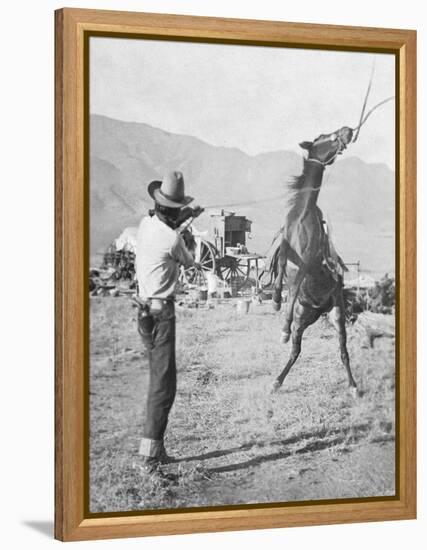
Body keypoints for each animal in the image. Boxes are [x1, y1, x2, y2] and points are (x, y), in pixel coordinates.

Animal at [272, 128, 360, 396]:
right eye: (325, 137)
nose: (347, 131)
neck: (302, 215)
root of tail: (320, 309)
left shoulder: (309, 261)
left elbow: (295, 285)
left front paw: (282, 328)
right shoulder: (288, 248)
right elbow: (281, 264)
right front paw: (275, 300)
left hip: (337, 315)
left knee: (343, 351)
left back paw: (353, 386)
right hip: (303, 320)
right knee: (295, 351)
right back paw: (277, 381)